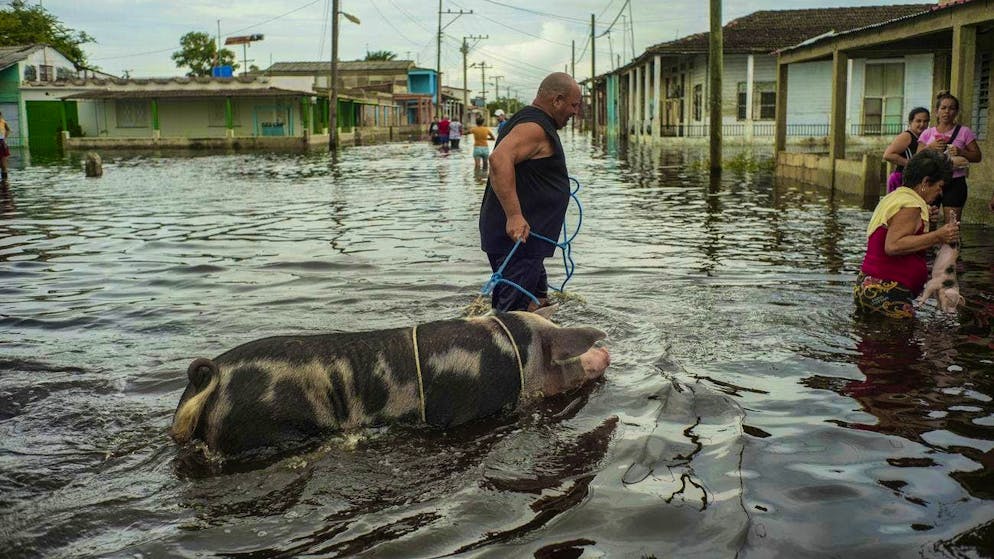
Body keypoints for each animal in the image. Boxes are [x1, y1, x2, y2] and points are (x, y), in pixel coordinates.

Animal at [170, 307, 610, 460]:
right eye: (566, 352)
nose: (606, 351)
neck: (516, 353)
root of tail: (212, 379)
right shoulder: (463, 413)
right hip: (266, 429)